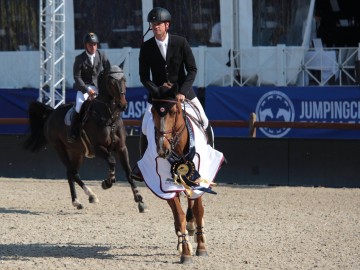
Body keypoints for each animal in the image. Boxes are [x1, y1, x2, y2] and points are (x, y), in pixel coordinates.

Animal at [23, 64, 146, 212]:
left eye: (124, 80)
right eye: (111, 82)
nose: (123, 105)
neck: (109, 117)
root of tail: (52, 113)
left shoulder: (122, 148)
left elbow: (128, 171)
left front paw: (139, 200)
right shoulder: (98, 148)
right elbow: (111, 161)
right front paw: (107, 182)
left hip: (76, 152)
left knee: (70, 173)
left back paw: (77, 201)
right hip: (59, 148)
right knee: (73, 172)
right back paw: (91, 195)